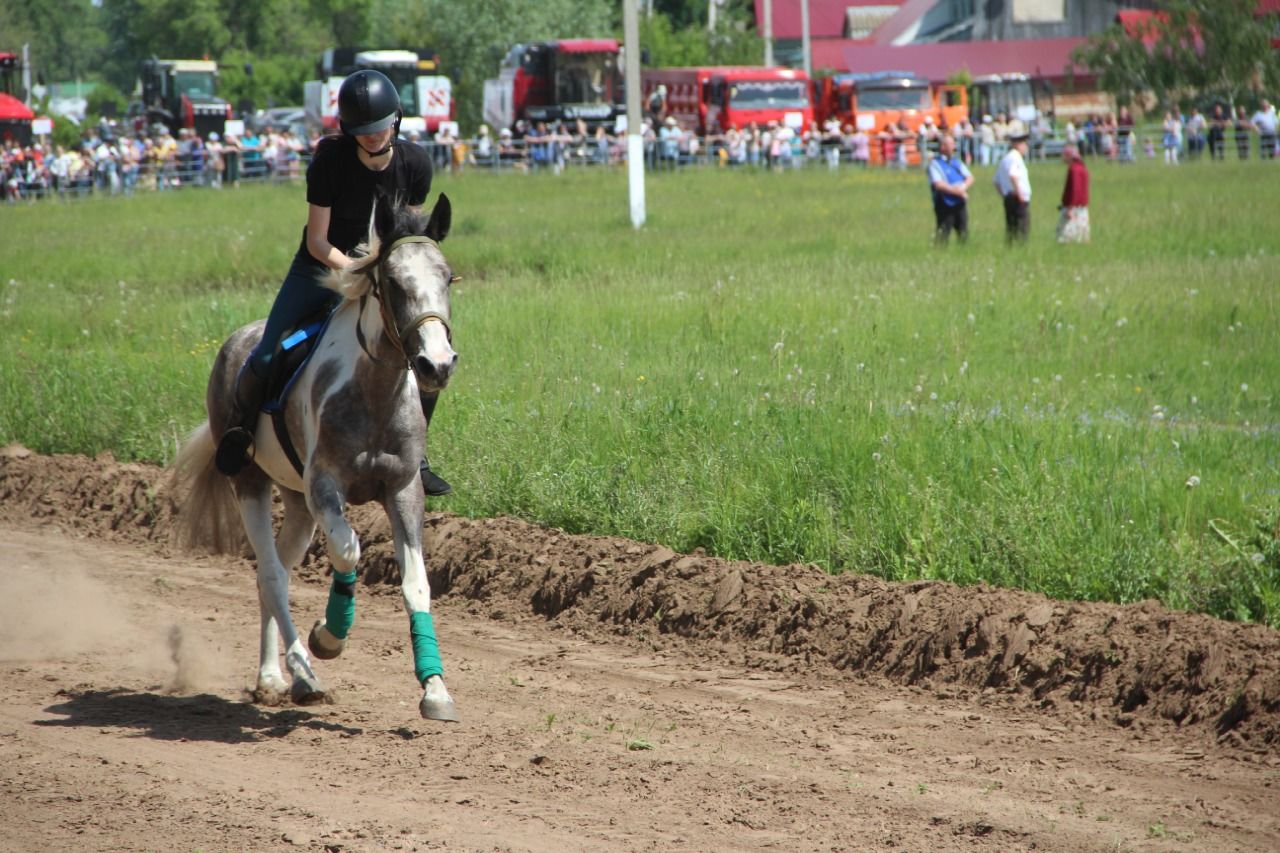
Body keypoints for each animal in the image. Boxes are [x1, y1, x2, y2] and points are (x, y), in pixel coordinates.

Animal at [170, 190, 460, 717]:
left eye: (447, 277)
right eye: (393, 282)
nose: (437, 363)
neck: (374, 390)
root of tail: (233, 342)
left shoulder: (403, 490)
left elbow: (416, 585)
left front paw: (435, 689)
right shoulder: (326, 486)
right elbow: (348, 550)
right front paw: (329, 636)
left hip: (299, 504)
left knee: (276, 573)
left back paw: (272, 675)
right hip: (251, 483)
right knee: (271, 575)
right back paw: (302, 673)